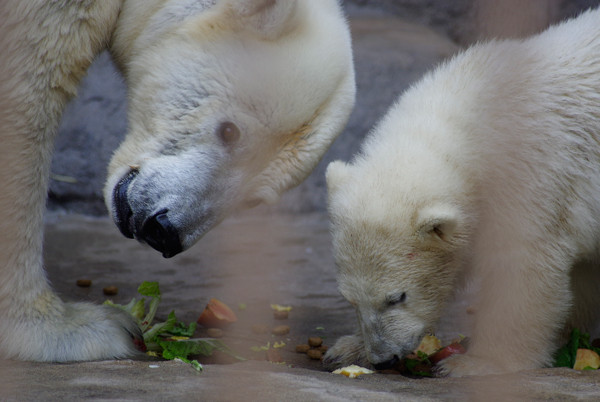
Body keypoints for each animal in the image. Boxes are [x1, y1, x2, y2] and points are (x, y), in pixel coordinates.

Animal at [324, 9, 600, 376]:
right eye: (350, 298)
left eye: (397, 297)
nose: (384, 358)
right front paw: (347, 349)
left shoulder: (534, 174)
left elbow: (524, 268)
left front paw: (476, 363)